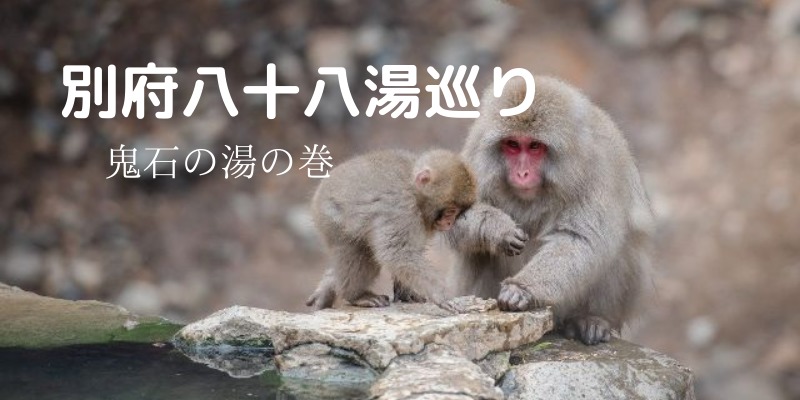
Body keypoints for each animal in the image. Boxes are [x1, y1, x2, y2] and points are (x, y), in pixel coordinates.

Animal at [305, 149, 479, 310]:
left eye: (457, 213)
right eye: (450, 211)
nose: (449, 223)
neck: (414, 191)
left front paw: (405, 293)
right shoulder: (400, 208)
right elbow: (397, 253)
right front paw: (441, 295)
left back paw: (329, 284)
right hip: (331, 218)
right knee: (359, 255)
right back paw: (356, 295)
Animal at [446, 76, 654, 345]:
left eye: (535, 146)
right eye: (513, 145)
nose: (522, 173)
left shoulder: (595, 170)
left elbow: (581, 239)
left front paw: (520, 289)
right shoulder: (475, 154)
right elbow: (452, 217)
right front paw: (499, 230)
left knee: (621, 250)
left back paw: (591, 319)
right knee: (475, 251)